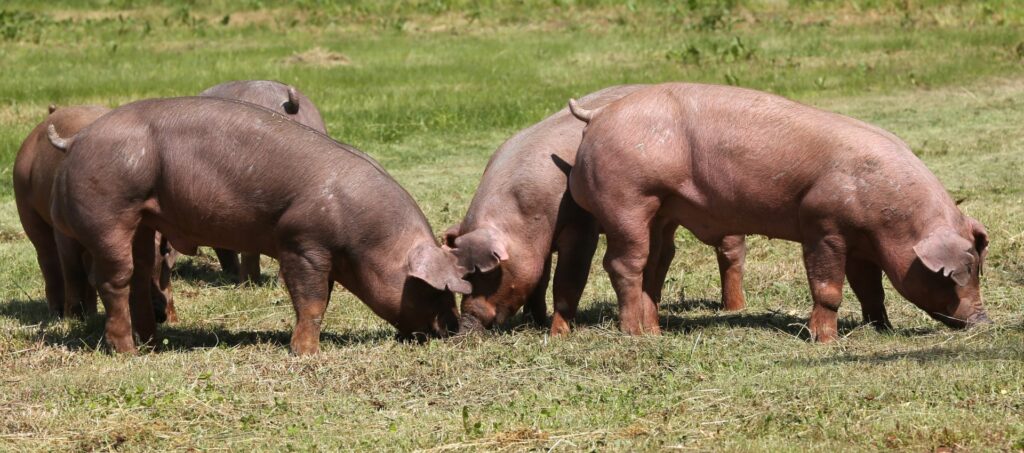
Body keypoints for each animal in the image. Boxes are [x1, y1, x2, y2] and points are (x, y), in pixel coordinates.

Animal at [14, 105, 176, 322]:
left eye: (164, 254)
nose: (160, 313)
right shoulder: (63, 235)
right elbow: (72, 270)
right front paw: (71, 318)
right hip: (30, 215)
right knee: (49, 261)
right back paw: (58, 312)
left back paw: (89, 312)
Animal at [449, 85, 748, 336]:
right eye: (462, 272)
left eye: (489, 272)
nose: (465, 326)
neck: (525, 213)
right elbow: (539, 279)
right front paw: (536, 323)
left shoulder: (582, 228)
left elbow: (567, 281)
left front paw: (557, 334)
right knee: (665, 253)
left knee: (731, 251)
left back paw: (734, 308)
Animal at [567, 83, 989, 341]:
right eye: (962, 271)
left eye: (978, 267)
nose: (983, 319)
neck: (893, 219)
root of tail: (597, 116)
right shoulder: (822, 225)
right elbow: (828, 288)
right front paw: (824, 341)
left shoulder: (863, 245)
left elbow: (871, 289)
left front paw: (881, 329)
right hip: (626, 200)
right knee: (623, 263)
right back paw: (633, 334)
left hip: (662, 210)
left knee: (655, 265)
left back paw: (655, 332)